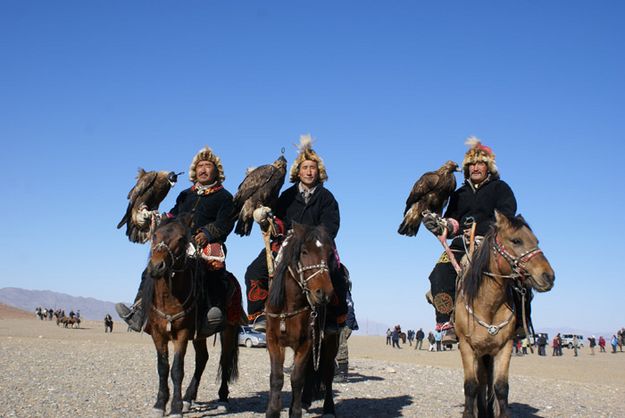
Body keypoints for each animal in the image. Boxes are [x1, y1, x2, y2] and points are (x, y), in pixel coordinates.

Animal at [140, 216, 240, 418]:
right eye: (154, 235)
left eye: (180, 239)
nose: (157, 266)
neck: (169, 297)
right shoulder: (158, 334)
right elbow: (162, 368)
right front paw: (160, 404)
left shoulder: (182, 334)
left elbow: (177, 370)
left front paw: (175, 408)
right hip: (199, 335)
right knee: (202, 359)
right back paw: (188, 398)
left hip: (229, 330)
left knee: (224, 361)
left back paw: (222, 400)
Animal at [266, 224, 338, 418]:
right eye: (304, 252)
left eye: (330, 253)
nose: (324, 293)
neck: (291, 306)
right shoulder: (273, 342)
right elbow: (276, 378)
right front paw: (273, 411)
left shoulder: (307, 342)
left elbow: (297, 378)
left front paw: (295, 412)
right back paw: (306, 401)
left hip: (331, 343)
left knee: (328, 374)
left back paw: (329, 409)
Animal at [454, 212, 556, 418]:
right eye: (516, 240)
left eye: (536, 241)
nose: (549, 276)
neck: (488, 305)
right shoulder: (467, 346)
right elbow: (470, 385)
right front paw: (469, 413)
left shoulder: (505, 346)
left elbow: (501, 387)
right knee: (480, 382)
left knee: (486, 381)